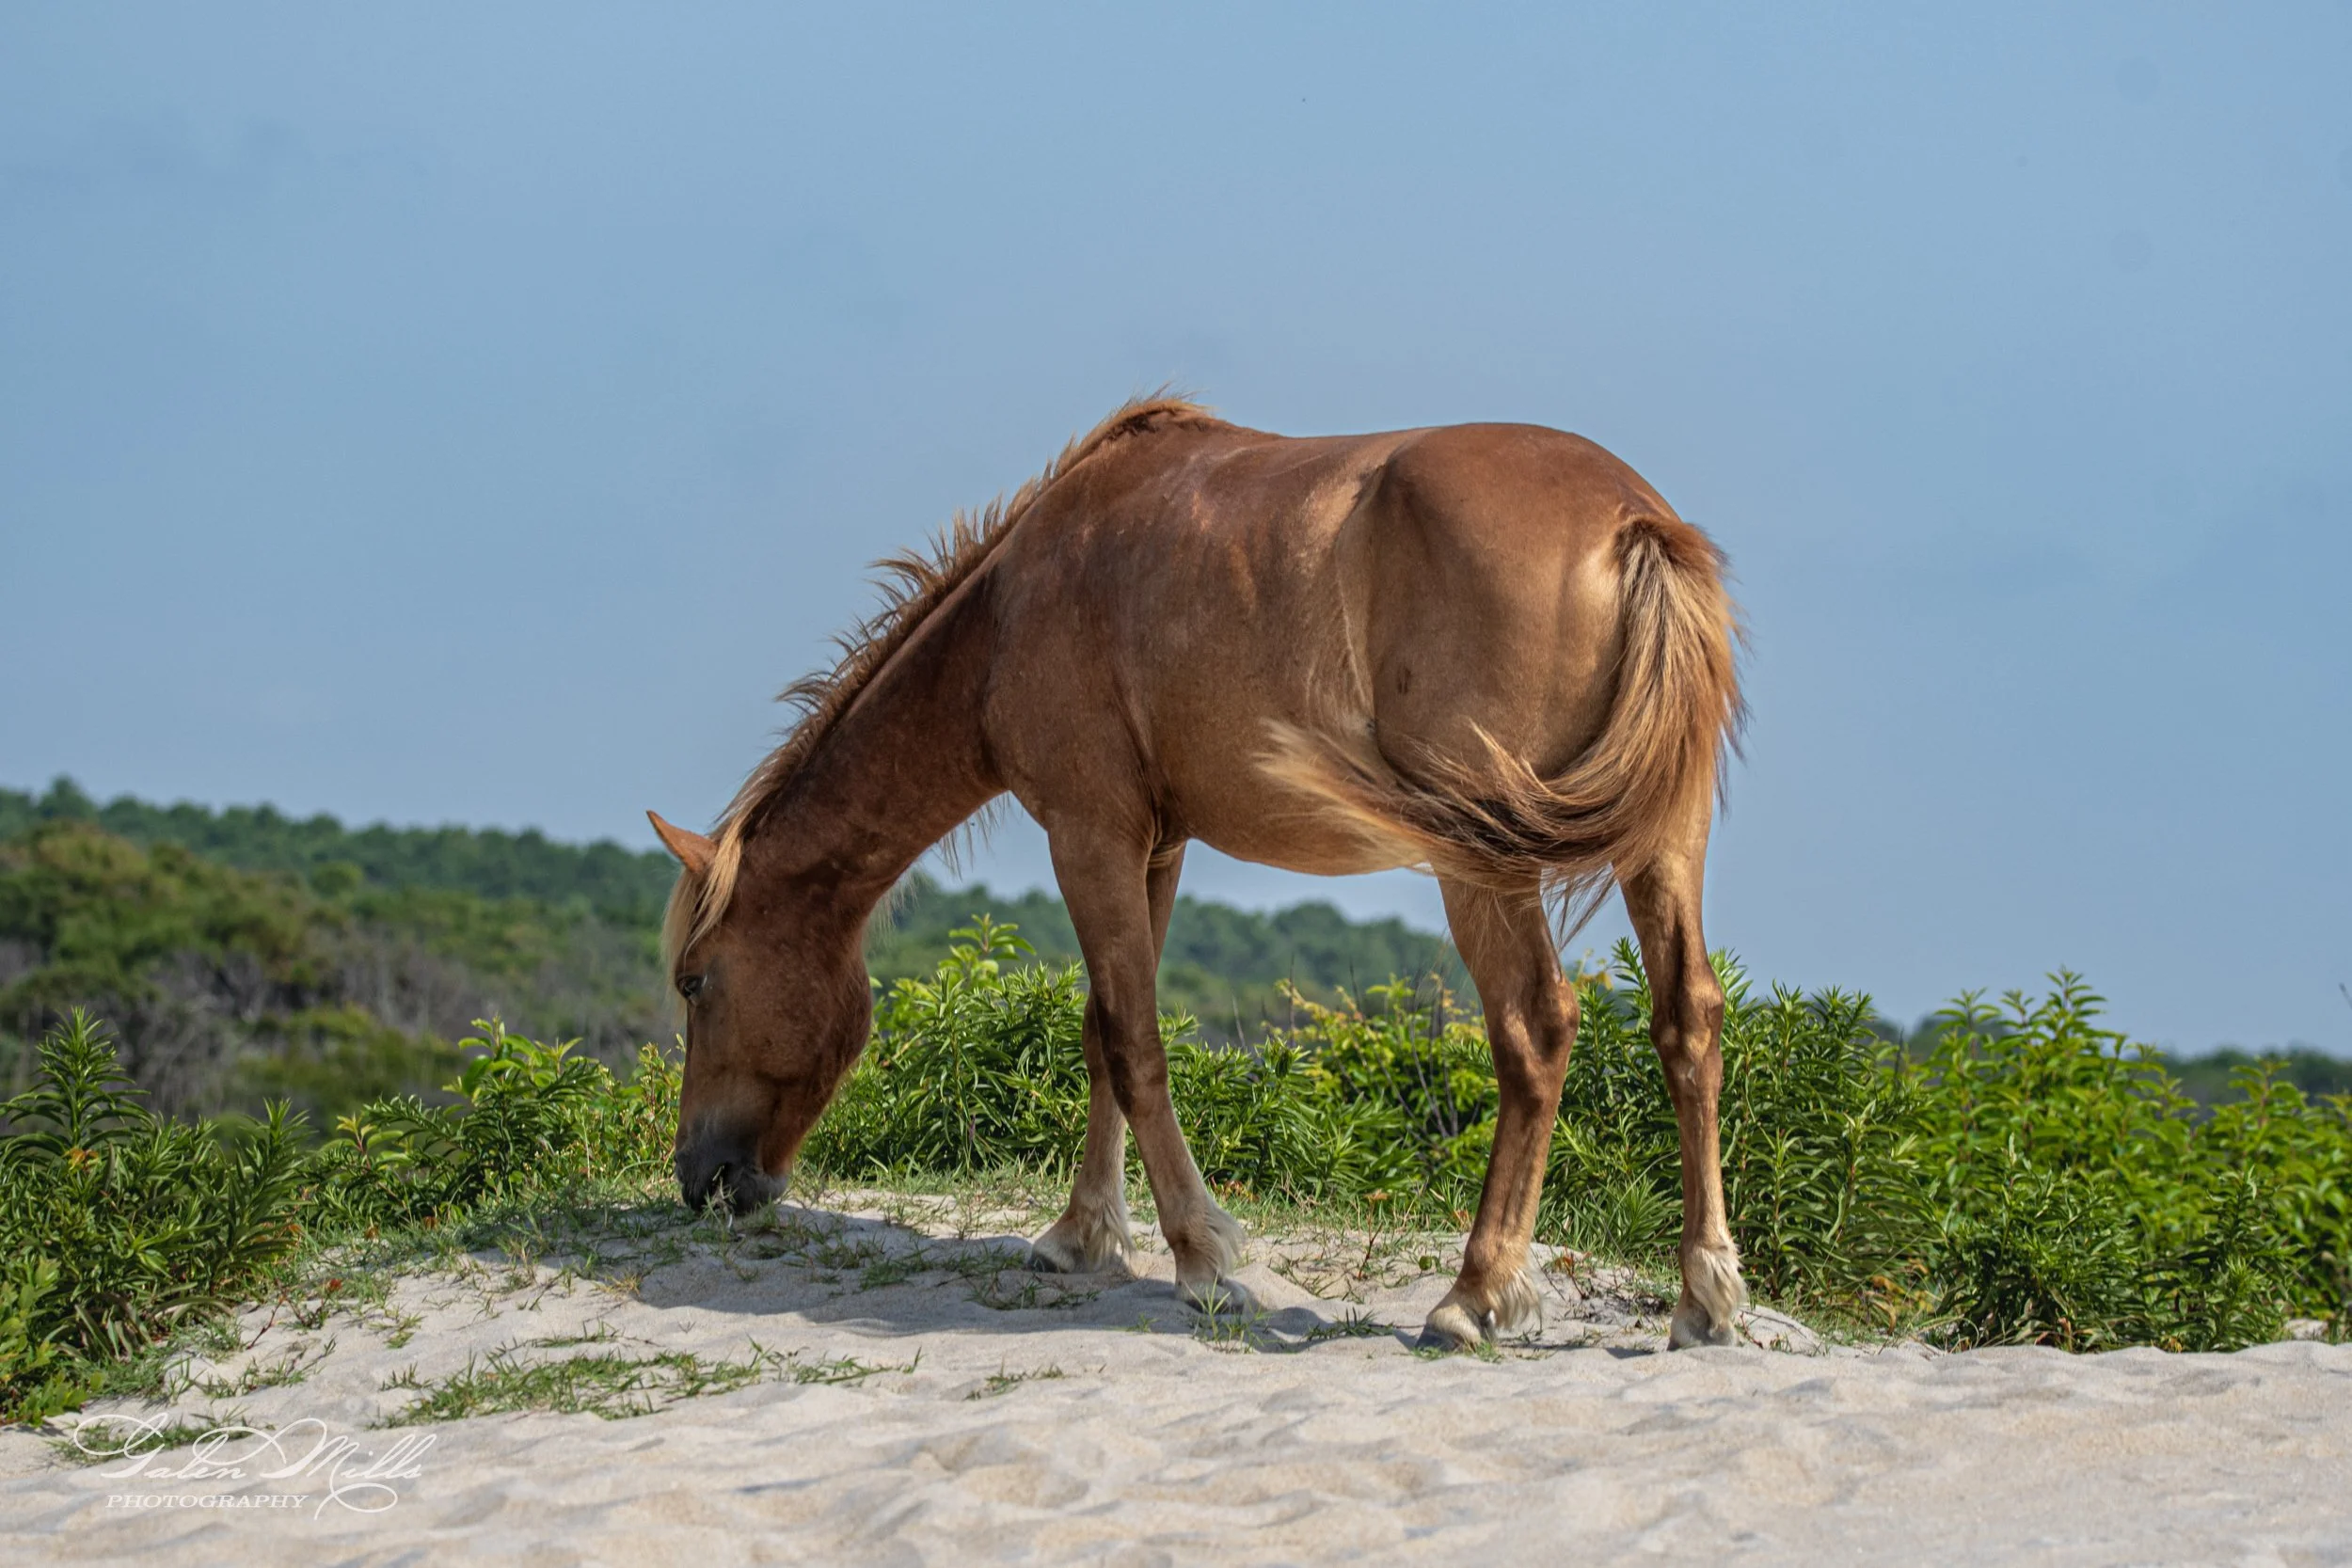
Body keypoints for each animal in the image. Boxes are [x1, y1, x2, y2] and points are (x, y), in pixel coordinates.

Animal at [647, 395, 1746, 1350]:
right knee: (1686, 1019)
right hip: (1662, 843)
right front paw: (1081, 1235)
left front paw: (1200, 1254)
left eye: (695, 981)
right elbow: (1100, 1031)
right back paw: (1703, 1296)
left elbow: (1134, 1043)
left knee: (1534, 1031)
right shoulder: (1154, 845)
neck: (1011, 606)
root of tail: (1633, 522)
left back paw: (1474, 1293)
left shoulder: (1088, 834)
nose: (698, 1177)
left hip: (1483, 860)